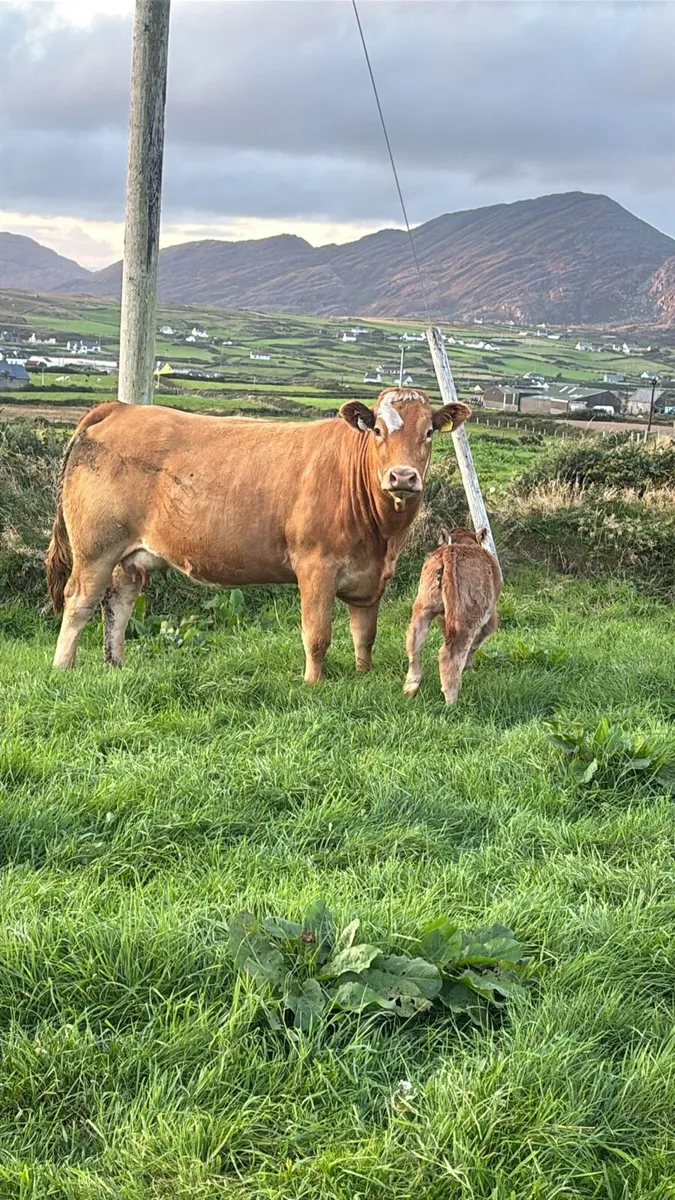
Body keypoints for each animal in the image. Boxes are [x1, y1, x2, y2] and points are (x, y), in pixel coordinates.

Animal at [46, 389, 471, 680]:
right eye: (379, 430)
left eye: (429, 432)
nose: (402, 477)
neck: (383, 536)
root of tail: (122, 408)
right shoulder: (315, 566)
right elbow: (317, 633)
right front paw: (313, 683)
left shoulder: (370, 576)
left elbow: (364, 632)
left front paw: (362, 675)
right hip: (96, 548)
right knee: (79, 601)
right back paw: (63, 667)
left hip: (130, 556)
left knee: (117, 603)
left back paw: (116, 665)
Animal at [403, 525, 501, 703]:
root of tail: (450, 550)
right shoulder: (490, 618)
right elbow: (476, 643)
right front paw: (468, 668)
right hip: (467, 617)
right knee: (450, 653)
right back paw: (452, 700)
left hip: (423, 608)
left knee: (414, 643)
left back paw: (410, 688)